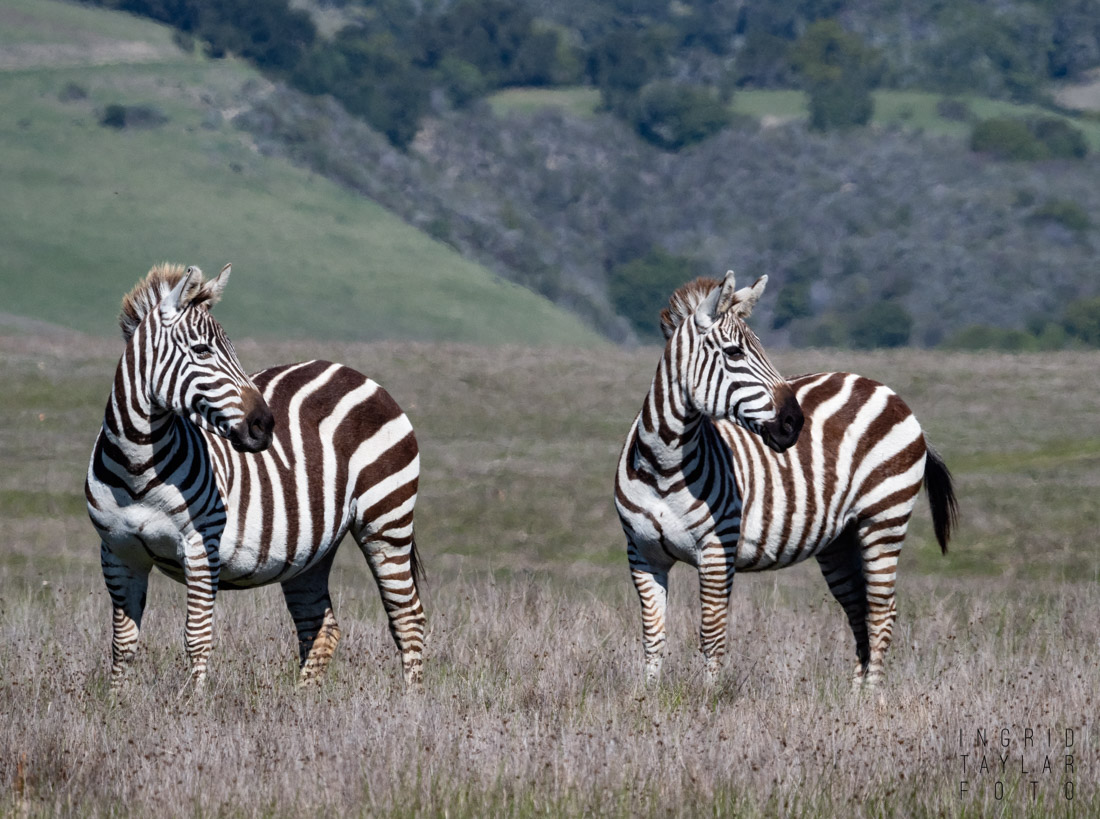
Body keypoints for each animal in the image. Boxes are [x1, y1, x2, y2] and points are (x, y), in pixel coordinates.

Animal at [85, 263, 426, 691]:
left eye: (232, 349)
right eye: (202, 350)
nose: (265, 425)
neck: (137, 469)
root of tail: (353, 373)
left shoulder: (200, 547)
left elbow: (197, 636)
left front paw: (193, 704)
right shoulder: (117, 552)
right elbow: (123, 641)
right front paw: (115, 701)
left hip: (386, 521)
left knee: (408, 619)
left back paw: (411, 701)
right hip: (312, 550)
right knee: (320, 626)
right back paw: (301, 700)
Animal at [614, 271, 956, 690]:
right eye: (734, 353)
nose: (795, 423)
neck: (662, 464)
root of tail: (886, 390)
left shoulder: (716, 550)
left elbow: (712, 634)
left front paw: (707, 698)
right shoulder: (642, 554)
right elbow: (652, 634)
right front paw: (647, 697)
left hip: (884, 519)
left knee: (882, 611)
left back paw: (872, 698)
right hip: (840, 540)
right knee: (859, 609)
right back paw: (853, 696)